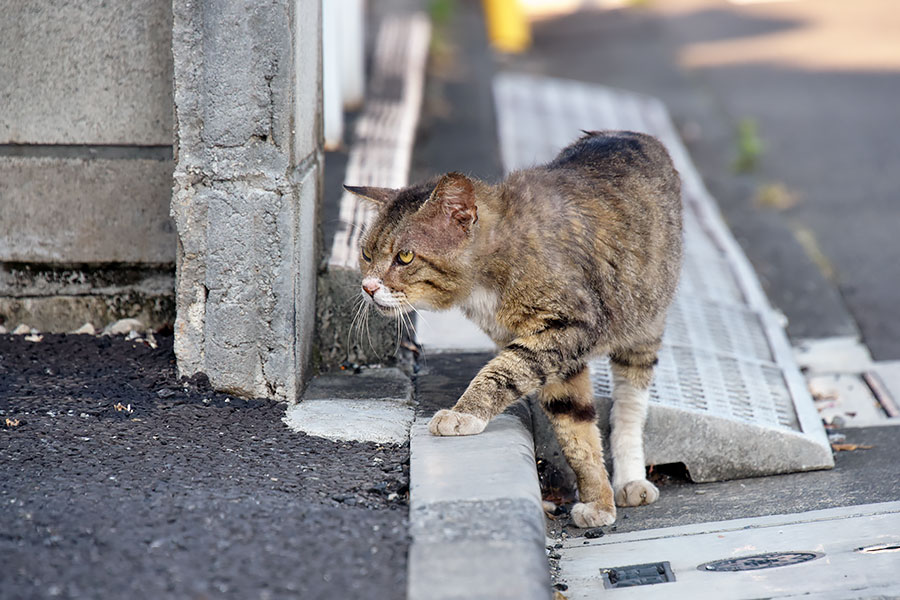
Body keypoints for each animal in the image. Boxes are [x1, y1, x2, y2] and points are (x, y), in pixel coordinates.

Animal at [346, 131, 684, 524]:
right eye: (367, 255)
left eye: (405, 257)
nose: (368, 287)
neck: (496, 260)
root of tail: (633, 134)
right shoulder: (560, 362)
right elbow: (575, 425)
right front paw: (598, 500)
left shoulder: (568, 328)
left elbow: (502, 372)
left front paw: (463, 414)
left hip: (644, 325)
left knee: (631, 404)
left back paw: (631, 479)